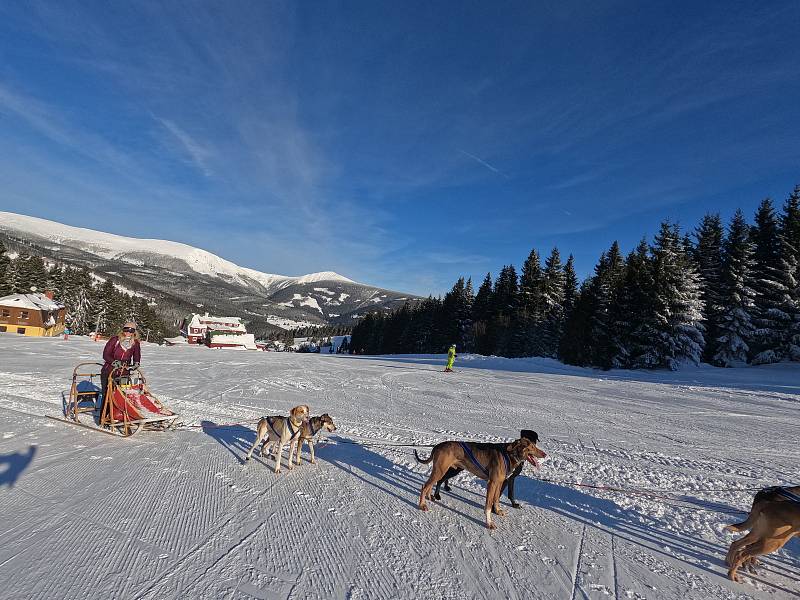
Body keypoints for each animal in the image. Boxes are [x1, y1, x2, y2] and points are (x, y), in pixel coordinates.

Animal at [416, 436, 548, 528]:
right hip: (440, 471)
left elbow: (496, 499)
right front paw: (489, 523)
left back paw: (429, 497)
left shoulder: (499, 483)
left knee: (430, 485)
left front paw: (498, 511)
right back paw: (422, 505)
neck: (509, 454)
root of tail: (437, 446)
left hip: (441, 472)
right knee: (425, 486)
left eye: (535, 445)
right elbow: (488, 506)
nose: (545, 454)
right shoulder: (492, 483)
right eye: (531, 447)